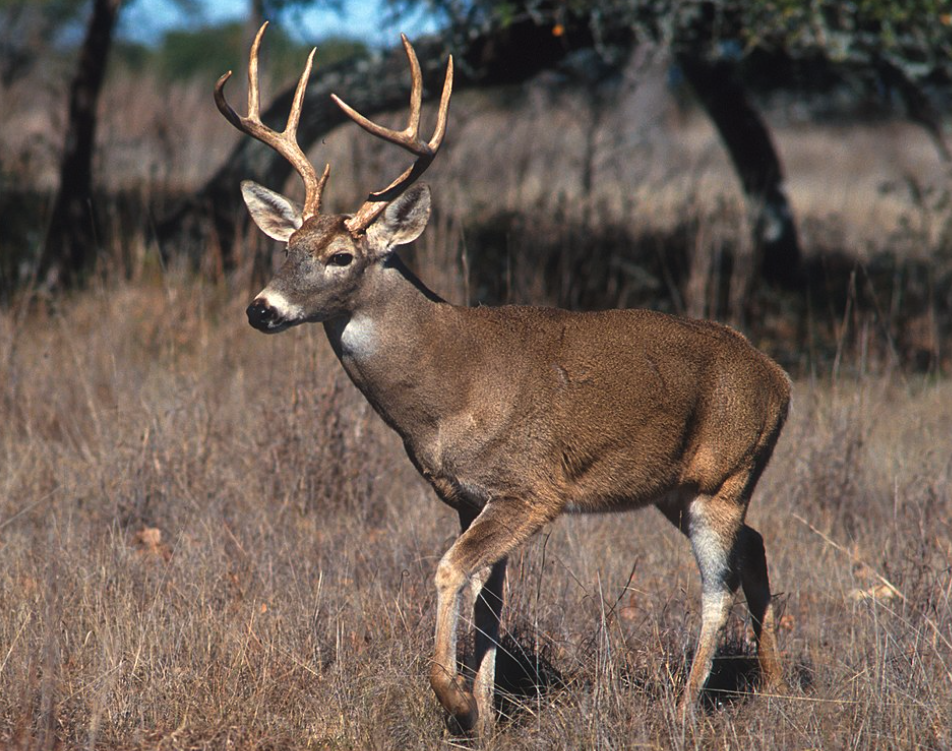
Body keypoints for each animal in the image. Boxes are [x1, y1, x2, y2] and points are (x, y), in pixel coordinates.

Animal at [219, 22, 792, 736]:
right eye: (287, 249)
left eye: (341, 256)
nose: (261, 309)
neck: (447, 391)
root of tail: (780, 379)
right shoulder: (470, 496)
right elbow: (490, 600)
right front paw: (487, 714)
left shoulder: (531, 488)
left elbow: (449, 572)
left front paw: (456, 699)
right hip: (679, 487)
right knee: (756, 546)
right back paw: (774, 685)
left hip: (724, 476)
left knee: (718, 586)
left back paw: (686, 709)